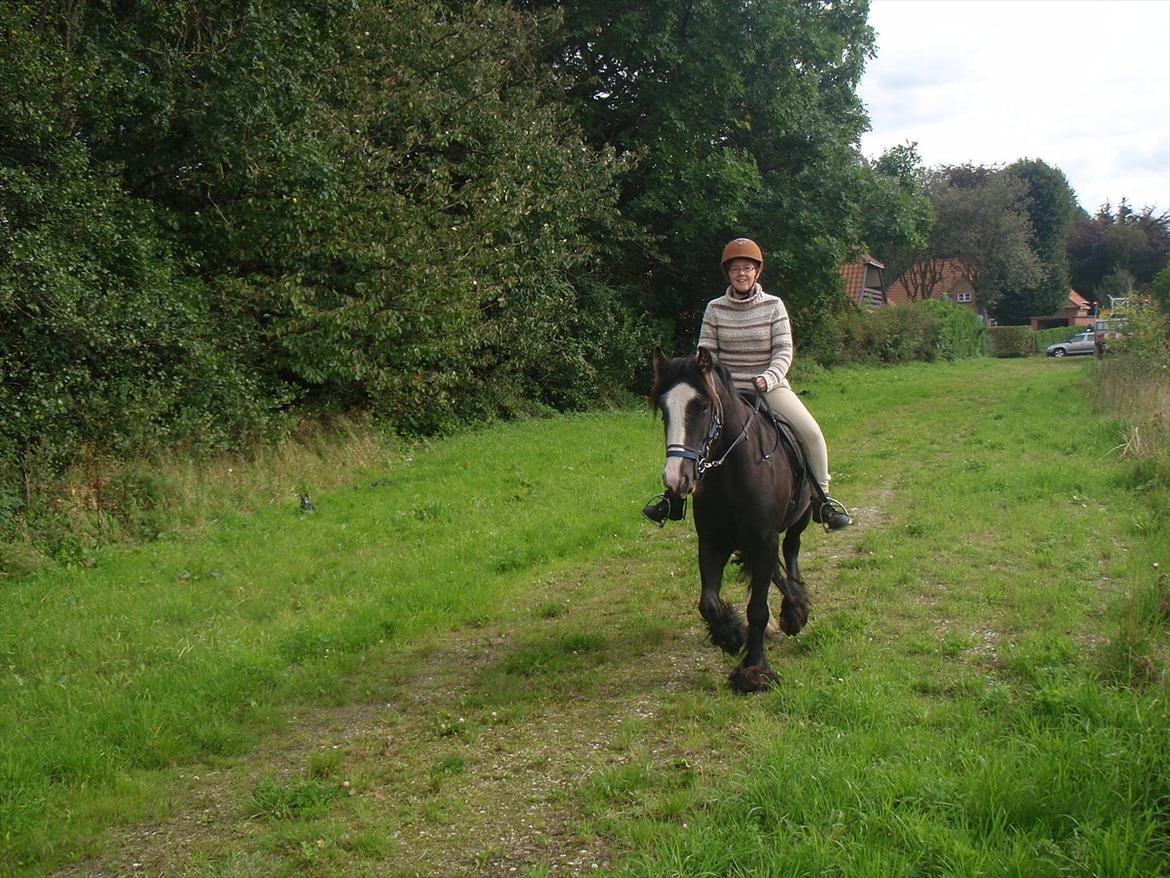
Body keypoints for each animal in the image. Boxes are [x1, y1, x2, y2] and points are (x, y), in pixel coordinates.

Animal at [650, 346, 814, 693]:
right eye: (663, 408)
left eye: (702, 406)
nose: (675, 478)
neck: (734, 473)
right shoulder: (712, 541)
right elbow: (708, 602)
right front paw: (732, 635)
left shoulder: (765, 538)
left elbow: (758, 609)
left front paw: (754, 670)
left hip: (801, 518)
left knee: (791, 551)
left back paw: (796, 609)